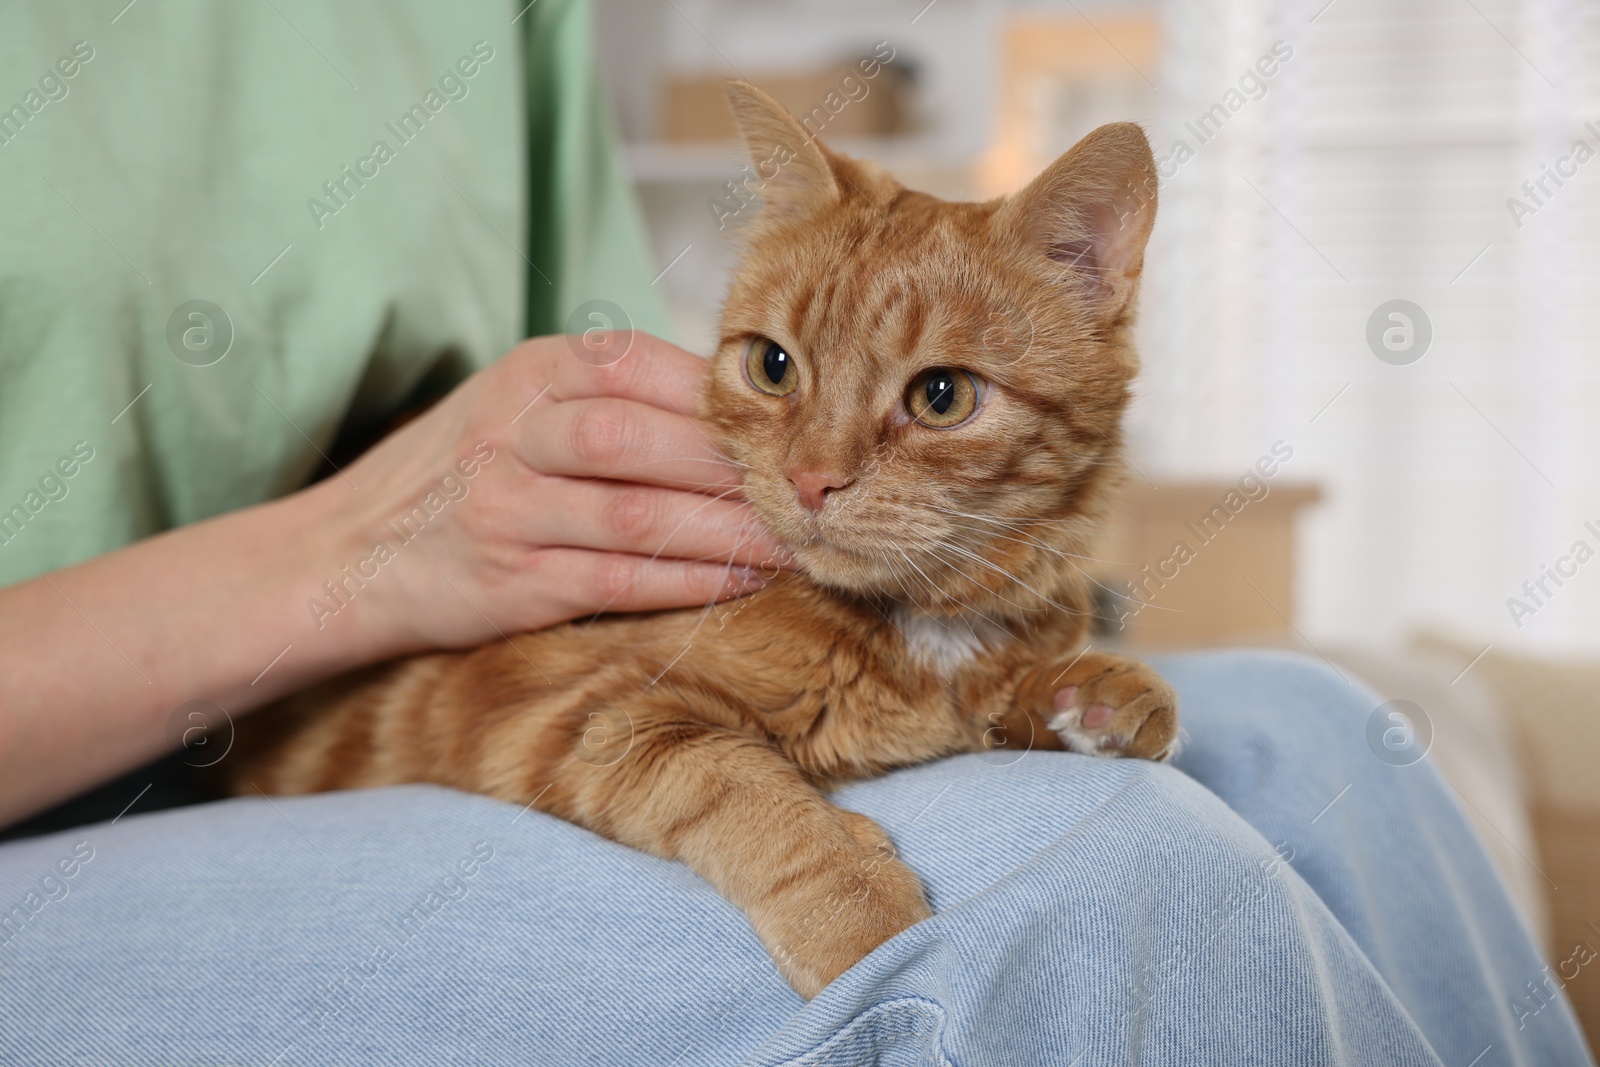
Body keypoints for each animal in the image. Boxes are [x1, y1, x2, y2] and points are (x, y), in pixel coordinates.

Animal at [233, 83, 1177, 1004]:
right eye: (773, 365)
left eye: (942, 395)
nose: (811, 479)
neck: (923, 632)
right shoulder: (572, 711)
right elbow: (739, 782)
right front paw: (856, 916)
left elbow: (1021, 691)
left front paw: (1094, 690)